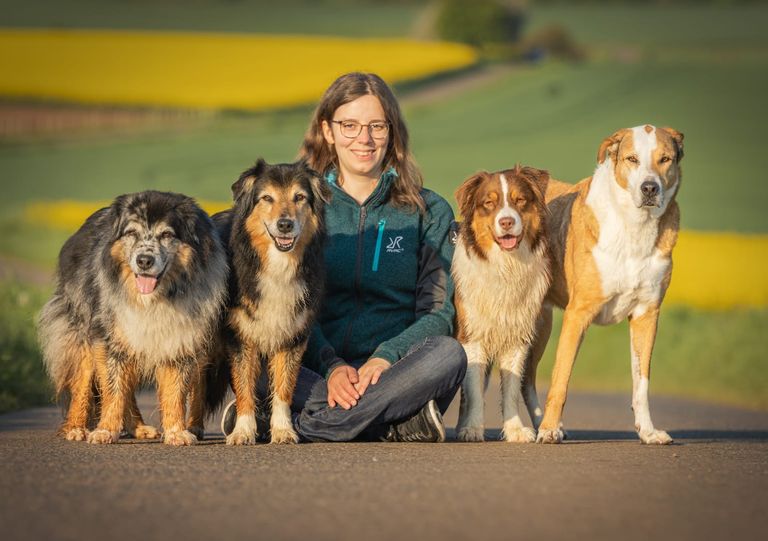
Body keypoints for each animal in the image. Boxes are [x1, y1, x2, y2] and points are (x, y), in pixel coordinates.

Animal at [38, 192, 226, 446]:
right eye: (131, 233)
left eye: (167, 234)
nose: (144, 260)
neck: (153, 300)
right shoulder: (110, 339)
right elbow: (113, 388)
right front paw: (105, 430)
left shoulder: (179, 339)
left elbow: (174, 392)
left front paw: (176, 432)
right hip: (84, 333)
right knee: (83, 383)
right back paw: (76, 428)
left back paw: (138, 428)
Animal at [192, 158, 330, 446]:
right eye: (267, 198)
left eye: (299, 197)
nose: (285, 224)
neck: (276, 265)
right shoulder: (240, 336)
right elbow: (244, 387)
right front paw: (243, 431)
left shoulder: (292, 336)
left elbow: (284, 389)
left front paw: (283, 430)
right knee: (197, 381)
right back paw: (193, 427)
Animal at [450, 166, 552, 442]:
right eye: (489, 203)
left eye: (520, 200)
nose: (506, 222)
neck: (505, 267)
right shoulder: (472, 336)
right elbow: (473, 389)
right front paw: (472, 428)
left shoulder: (517, 338)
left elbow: (512, 389)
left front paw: (515, 429)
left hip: (538, 337)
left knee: (528, 384)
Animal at [536, 124, 684, 446]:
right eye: (632, 159)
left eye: (665, 159)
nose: (650, 188)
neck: (634, 227)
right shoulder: (578, 314)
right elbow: (561, 379)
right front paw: (549, 429)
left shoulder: (646, 315)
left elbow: (642, 382)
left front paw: (648, 432)